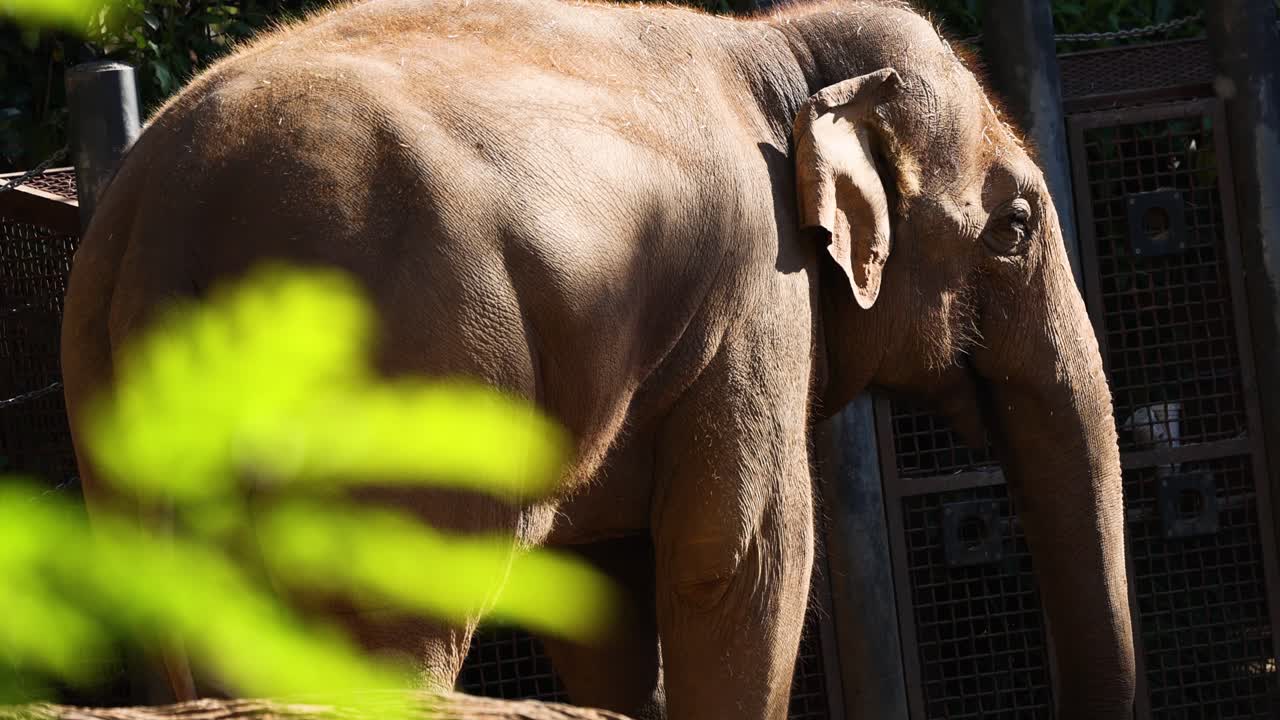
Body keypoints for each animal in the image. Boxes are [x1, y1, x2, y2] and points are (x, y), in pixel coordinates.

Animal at [59, 0, 1136, 718]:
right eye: (1014, 227)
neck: (776, 46)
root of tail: (166, 209)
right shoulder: (756, 294)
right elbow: (736, 560)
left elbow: (603, 597)